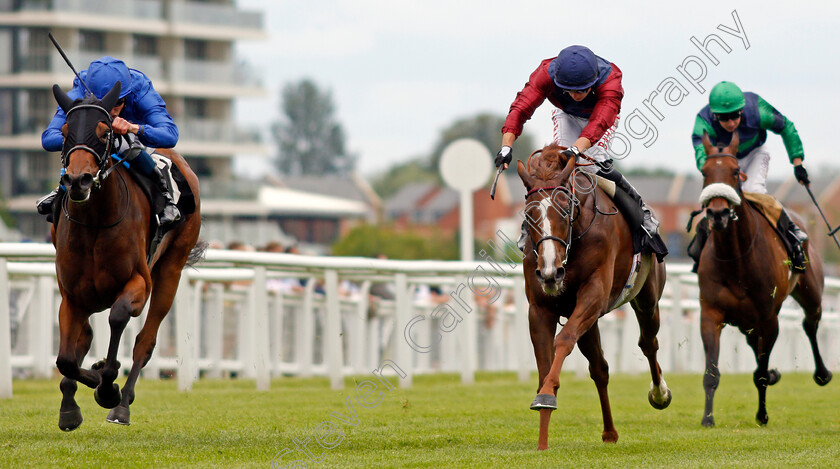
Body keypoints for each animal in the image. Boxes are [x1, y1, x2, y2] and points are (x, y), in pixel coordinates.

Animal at [49, 82, 203, 430]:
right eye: (64, 131)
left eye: (105, 131)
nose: (77, 180)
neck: (95, 222)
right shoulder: (71, 295)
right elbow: (65, 358)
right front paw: (73, 403)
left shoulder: (138, 283)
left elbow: (118, 318)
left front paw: (107, 387)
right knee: (84, 338)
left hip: (171, 270)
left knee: (145, 341)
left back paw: (122, 404)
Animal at [516, 144, 672, 450]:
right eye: (529, 214)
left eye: (565, 208)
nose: (550, 271)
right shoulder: (540, 307)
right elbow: (544, 364)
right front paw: (542, 437)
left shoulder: (595, 294)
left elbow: (563, 340)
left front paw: (548, 395)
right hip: (589, 323)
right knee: (600, 368)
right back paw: (609, 432)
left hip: (647, 300)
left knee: (648, 343)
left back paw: (659, 393)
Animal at [696, 133, 832, 428]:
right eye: (704, 172)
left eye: (735, 172)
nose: (718, 214)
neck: (735, 259)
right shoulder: (711, 314)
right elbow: (711, 372)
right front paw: (707, 418)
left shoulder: (769, 319)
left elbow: (759, 373)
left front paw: (762, 414)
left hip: (810, 294)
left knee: (810, 325)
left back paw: (822, 373)